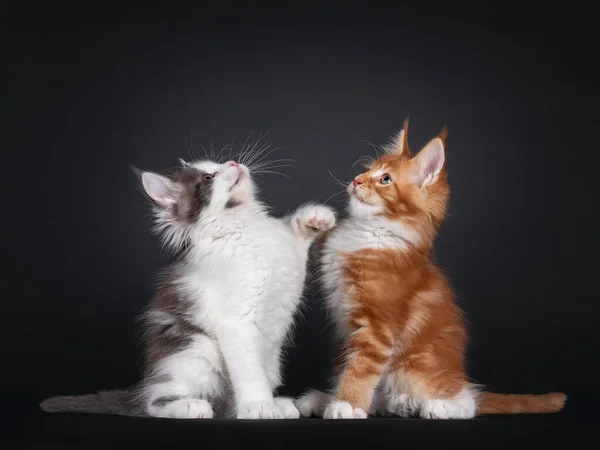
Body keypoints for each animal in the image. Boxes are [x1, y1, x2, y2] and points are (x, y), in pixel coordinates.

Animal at [39, 156, 336, 420]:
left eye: (219, 163)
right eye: (208, 177)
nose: (233, 163)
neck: (245, 225)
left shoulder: (289, 270)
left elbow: (295, 238)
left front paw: (314, 218)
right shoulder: (236, 323)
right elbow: (251, 373)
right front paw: (260, 407)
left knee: (230, 403)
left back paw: (276, 404)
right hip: (194, 352)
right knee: (155, 404)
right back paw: (193, 406)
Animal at [296, 121, 568, 420]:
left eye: (385, 179)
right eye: (367, 169)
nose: (356, 180)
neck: (371, 231)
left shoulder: (378, 327)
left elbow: (360, 368)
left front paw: (347, 404)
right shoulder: (329, 257)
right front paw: (317, 218)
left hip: (414, 369)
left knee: (467, 402)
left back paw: (437, 405)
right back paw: (324, 399)